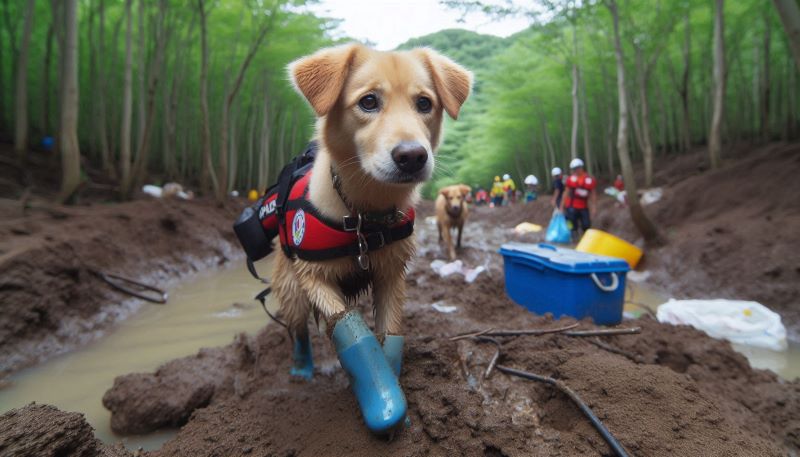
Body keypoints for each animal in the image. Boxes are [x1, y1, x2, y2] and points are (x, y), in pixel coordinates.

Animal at [272, 45, 472, 346]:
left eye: (424, 103)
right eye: (368, 101)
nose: (412, 157)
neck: (364, 217)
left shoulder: (391, 274)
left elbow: (389, 333)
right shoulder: (313, 276)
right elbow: (351, 328)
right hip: (291, 292)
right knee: (299, 334)